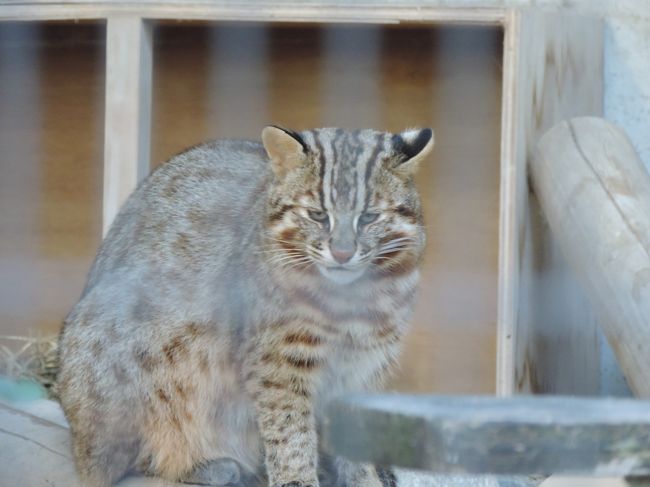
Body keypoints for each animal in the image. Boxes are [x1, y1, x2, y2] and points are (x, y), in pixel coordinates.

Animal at [55, 127, 430, 487]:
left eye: (369, 217)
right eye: (317, 215)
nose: (342, 254)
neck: (353, 297)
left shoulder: (364, 365)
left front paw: (364, 477)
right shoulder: (278, 363)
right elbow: (289, 430)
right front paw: (296, 479)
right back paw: (208, 464)